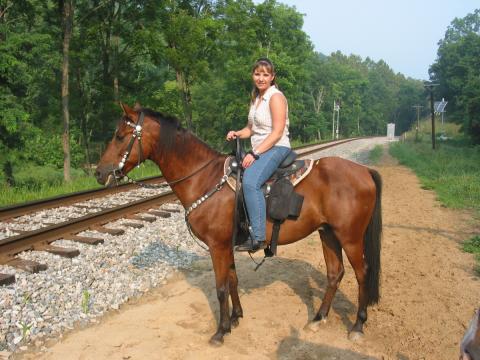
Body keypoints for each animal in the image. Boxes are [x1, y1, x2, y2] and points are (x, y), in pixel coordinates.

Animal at [96, 104, 382, 346]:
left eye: (120, 136)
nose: (100, 173)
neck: (204, 178)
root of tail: (364, 170)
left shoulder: (217, 246)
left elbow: (221, 287)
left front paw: (220, 331)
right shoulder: (227, 245)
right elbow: (232, 280)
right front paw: (235, 318)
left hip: (350, 237)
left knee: (362, 274)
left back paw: (357, 326)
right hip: (328, 234)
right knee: (335, 273)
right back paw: (318, 318)